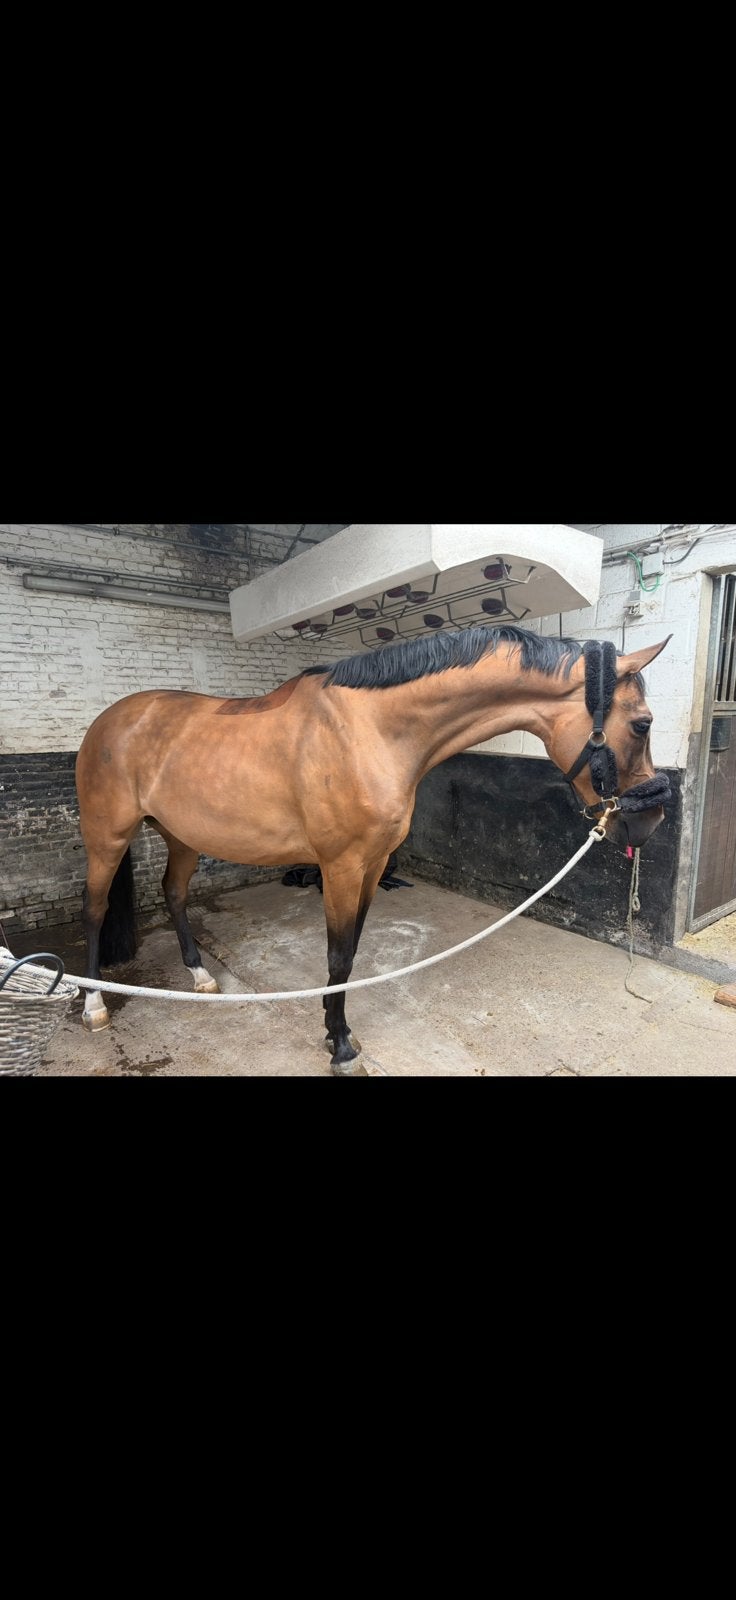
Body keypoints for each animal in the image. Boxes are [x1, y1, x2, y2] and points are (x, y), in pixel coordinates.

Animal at [75, 624, 671, 1073]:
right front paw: (341, 1046)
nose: (652, 821)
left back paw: (199, 977)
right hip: (107, 838)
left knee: (173, 893)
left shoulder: (374, 864)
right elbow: (338, 954)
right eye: (642, 724)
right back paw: (94, 1004)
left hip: (182, 837)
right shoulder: (340, 866)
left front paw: (331, 1024)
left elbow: (352, 951)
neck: (370, 731)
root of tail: (107, 721)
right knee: (95, 909)